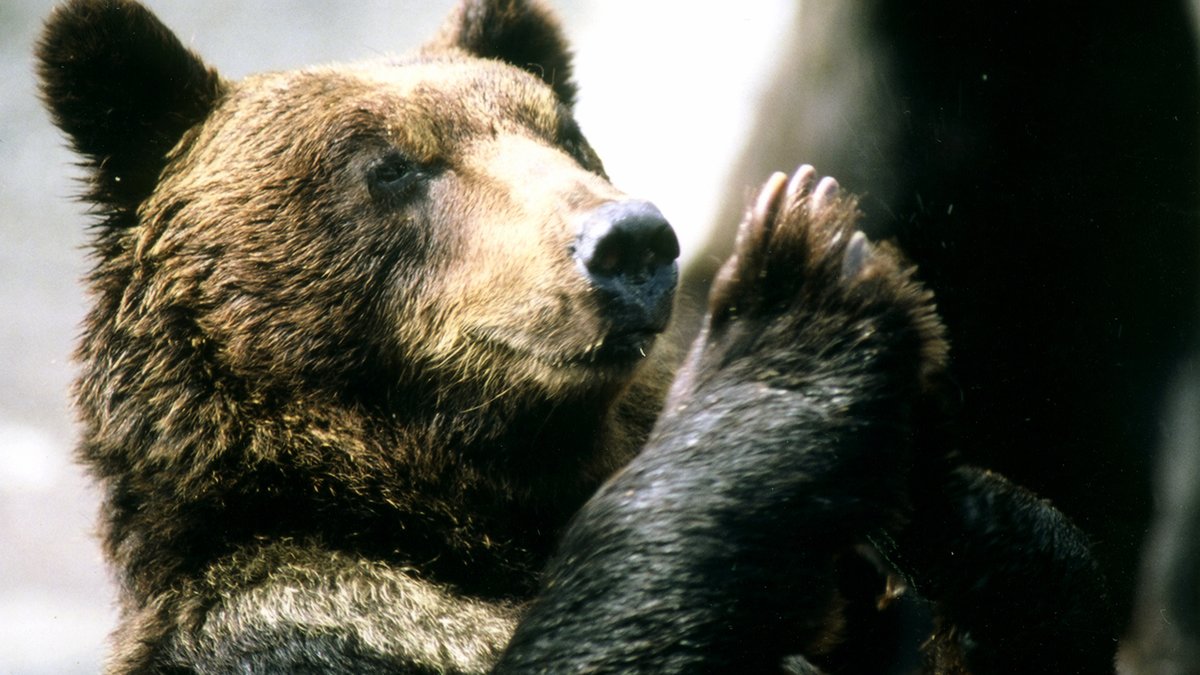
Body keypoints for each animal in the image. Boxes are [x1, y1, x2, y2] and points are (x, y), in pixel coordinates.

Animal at [37, 0, 1116, 672]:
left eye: (562, 133)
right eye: (392, 165)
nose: (630, 239)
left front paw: (937, 486)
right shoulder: (309, 622)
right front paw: (792, 304)